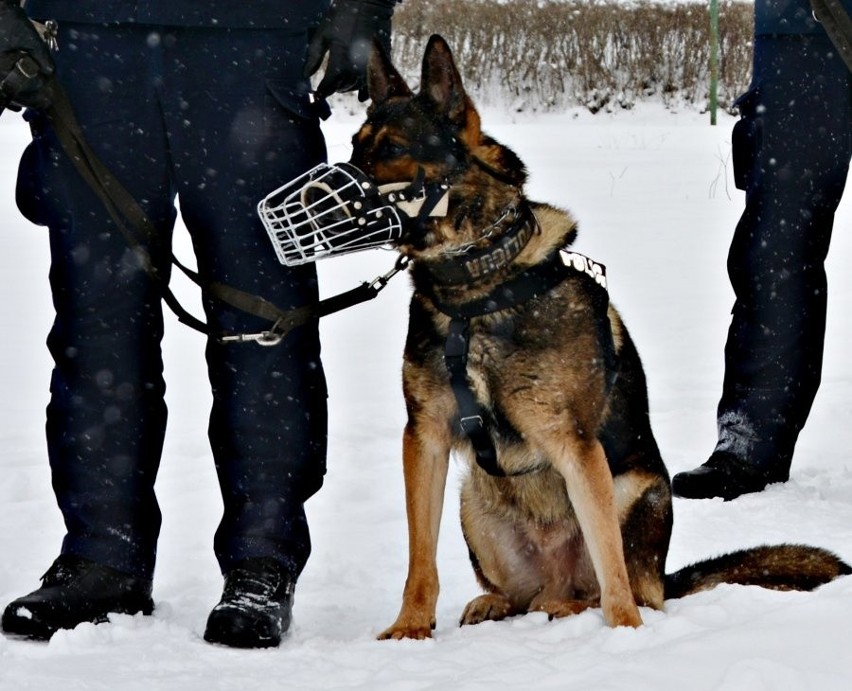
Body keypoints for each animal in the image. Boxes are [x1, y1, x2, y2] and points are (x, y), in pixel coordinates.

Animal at [348, 35, 852, 640]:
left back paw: (588, 608)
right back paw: (502, 602)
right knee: (531, 596)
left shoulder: (576, 446)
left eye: (394, 148)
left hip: (631, 489)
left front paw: (626, 634)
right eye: (354, 145)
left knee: (621, 585)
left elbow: (611, 565)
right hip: (476, 499)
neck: (477, 287)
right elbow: (419, 556)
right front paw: (410, 628)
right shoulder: (424, 438)